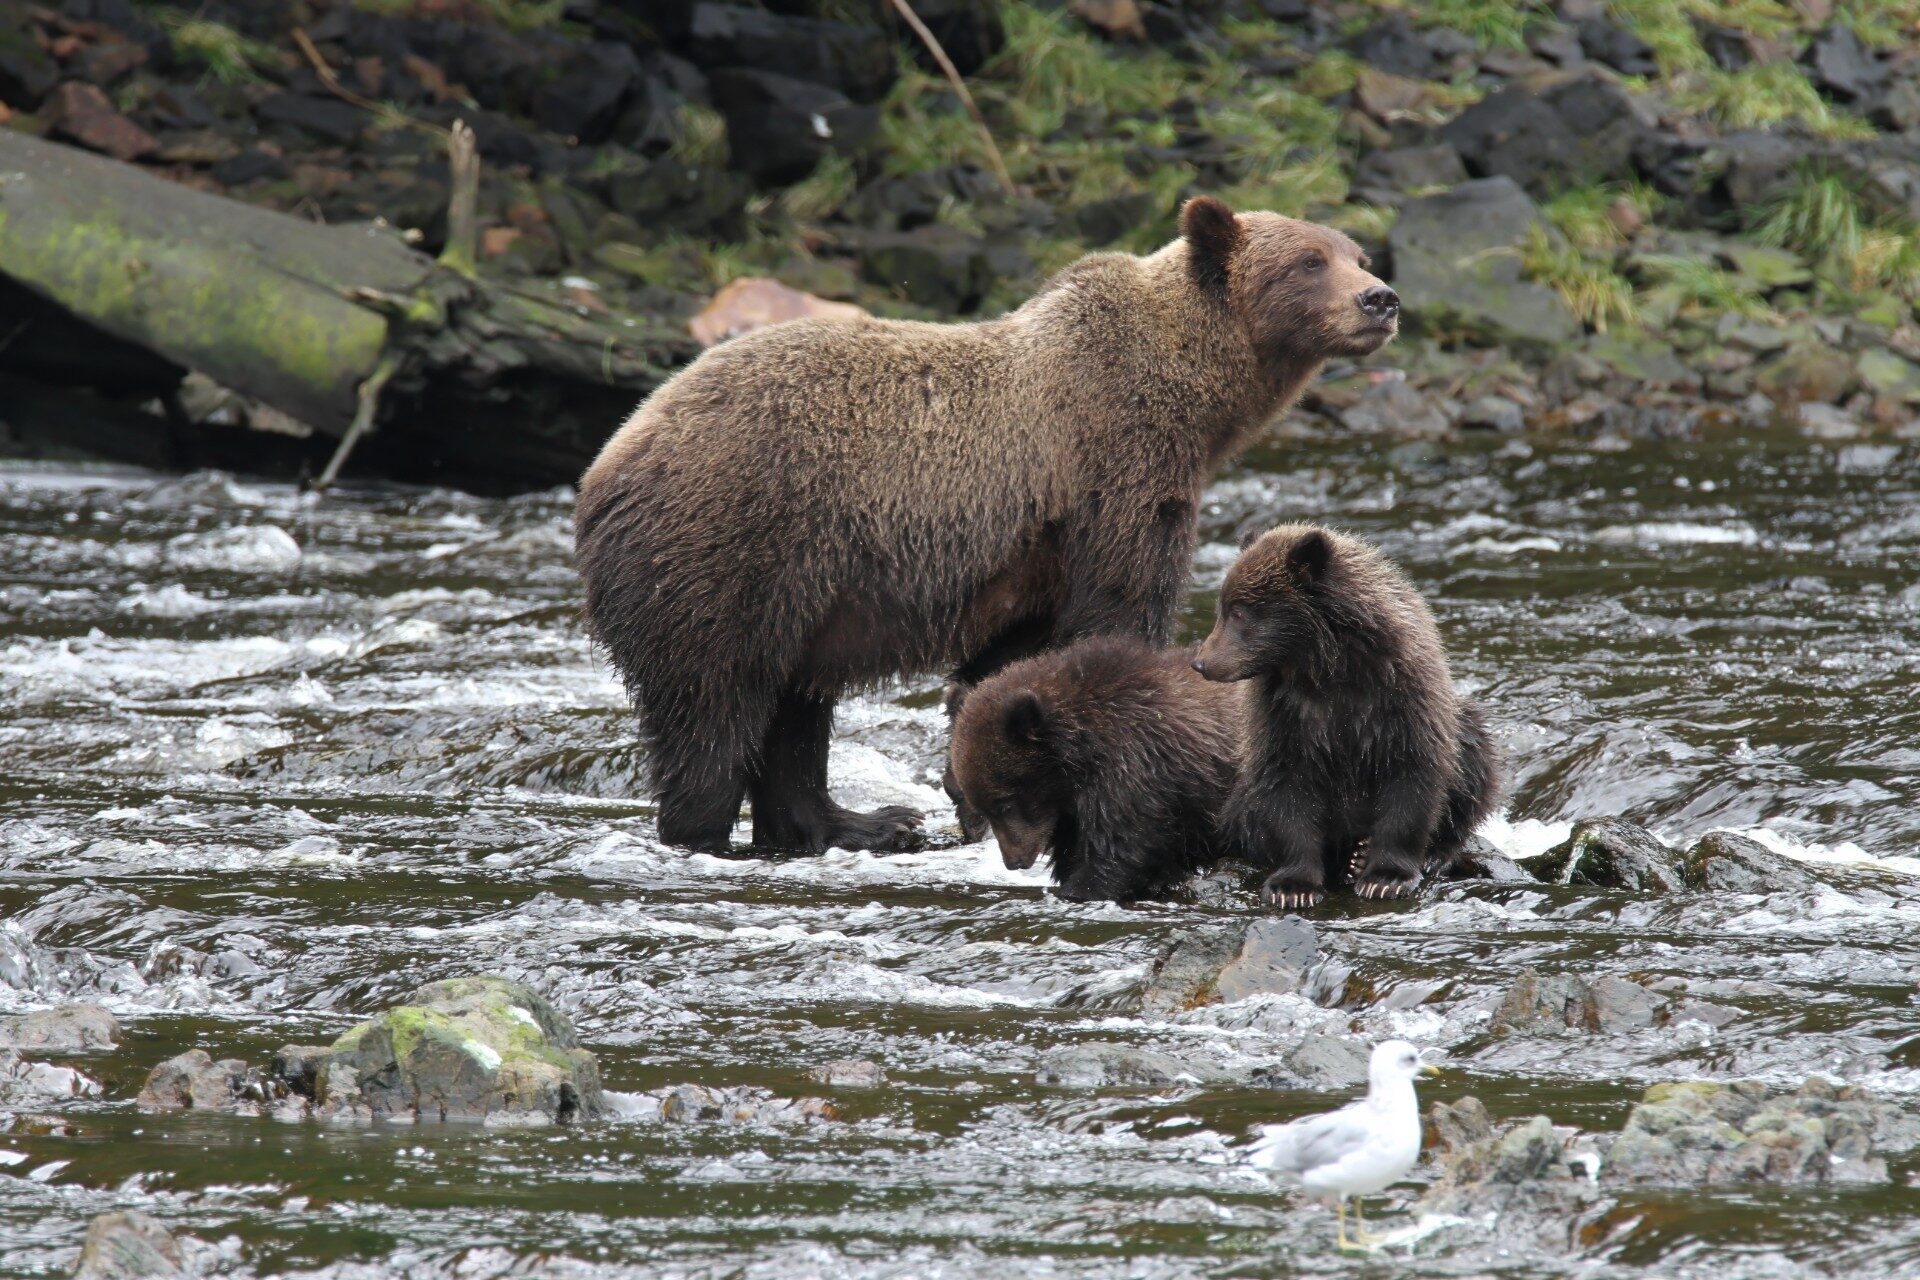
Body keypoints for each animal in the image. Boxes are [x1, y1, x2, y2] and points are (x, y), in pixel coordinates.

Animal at [574, 198, 1400, 855]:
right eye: (1308, 261)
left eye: (1355, 254)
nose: (1381, 298)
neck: (1196, 405)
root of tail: (606, 465)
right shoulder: (1116, 472)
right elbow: (1121, 608)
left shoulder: (1035, 550)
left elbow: (1009, 656)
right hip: (730, 546)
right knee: (715, 707)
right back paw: (710, 830)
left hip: (802, 591)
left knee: (793, 705)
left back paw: (863, 821)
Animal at [948, 637, 1246, 901]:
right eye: (983, 809)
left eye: (1006, 804)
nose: (1014, 861)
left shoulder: (1136, 770)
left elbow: (1122, 846)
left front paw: (1080, 889)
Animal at [1191, 524, 1500, 908]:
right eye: (1224, 607)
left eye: (1239, 612)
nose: (1201, 662)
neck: (1326, 668)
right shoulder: (1282, 717)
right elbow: (1285, 787)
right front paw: (1293, 886)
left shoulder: (1401, 700)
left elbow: (1412, 778)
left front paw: (1385, 877)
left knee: (1473, 757)